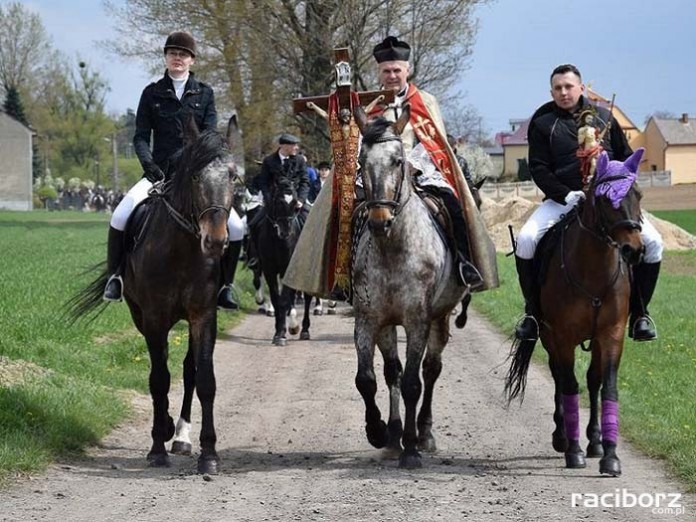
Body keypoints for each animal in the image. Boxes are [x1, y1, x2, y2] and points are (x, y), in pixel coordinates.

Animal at [354, 104, 468, 468]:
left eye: (397, 160)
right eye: (361, 161)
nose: (379, 220)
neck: (394, 248)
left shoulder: (418, 320)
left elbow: (412, 384)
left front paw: (412, 448)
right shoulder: (369, 319)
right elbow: (368, 379)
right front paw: (378, 431)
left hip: (440, 318)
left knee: (430, 370)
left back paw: (423, 433)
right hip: (388, 325)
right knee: (392, 371)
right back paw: (393, 437)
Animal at [506, 147, 648, 476]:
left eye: (638, 194)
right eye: (606, 200)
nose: (633, 250)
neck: (593, 271)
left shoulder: (610, 334)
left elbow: (607, 386)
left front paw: (610, 455)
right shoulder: (563, 336)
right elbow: (569, 383)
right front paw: (573, 451)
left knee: (592, 380)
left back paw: (595, 442)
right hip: (548, 336)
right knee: (560, 377)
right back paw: (562, 437)